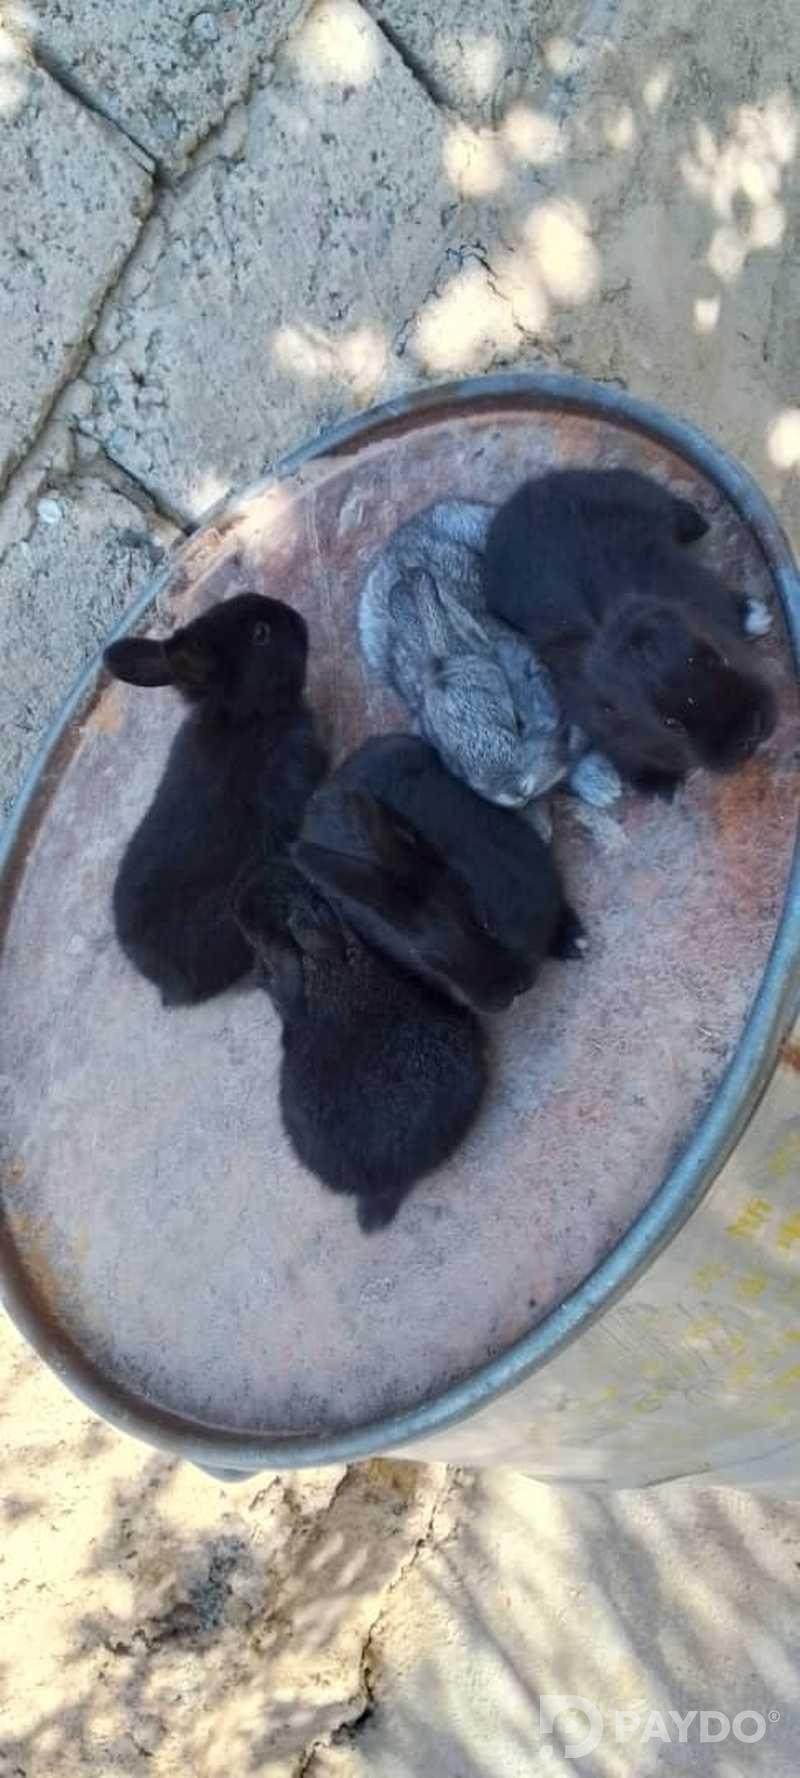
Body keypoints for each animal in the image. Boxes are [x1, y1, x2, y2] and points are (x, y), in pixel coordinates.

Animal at [359, 498, 621, 810]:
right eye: (457, 765)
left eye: (519, 722)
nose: (516, 791)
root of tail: (399, 538)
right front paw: (603, 787)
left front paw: (605, 786)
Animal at [483, 467, 776, 801]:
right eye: (671, 724)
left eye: (720, 660)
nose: (748, 736)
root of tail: (527, 493)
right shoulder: (606, 726)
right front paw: (660, 785)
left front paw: (754, 616)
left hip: (634, 494)